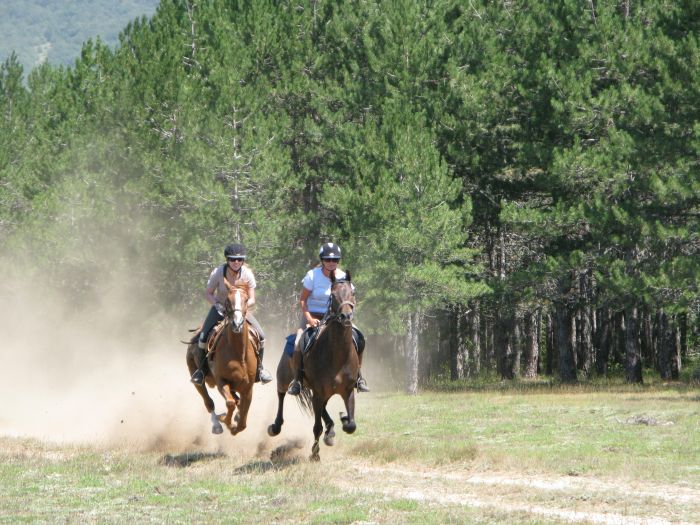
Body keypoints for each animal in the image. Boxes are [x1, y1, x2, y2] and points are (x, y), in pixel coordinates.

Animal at [186, 280, 260, 436]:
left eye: (246, 300)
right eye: (227, 300)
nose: (237, 324)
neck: (238, 354)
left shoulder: (248, 388)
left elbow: (242, 420)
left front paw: (235, 423)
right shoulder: (221, 381)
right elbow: (230, 403)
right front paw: (226, 421)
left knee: (236, 401)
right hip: (197, 379)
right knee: (209, 402)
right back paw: (217, 424)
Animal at [266, 272, 358, 460]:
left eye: (352, 293)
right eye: (333, 295)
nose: (346, 316)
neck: (338, 356)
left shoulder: (347, 390)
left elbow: (351, 425)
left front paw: (343, 420)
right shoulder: (318, 391)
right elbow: (316, 427)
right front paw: (315, 454)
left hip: (322, 392)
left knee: (323, 409)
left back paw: (331, 430)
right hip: (285, 377)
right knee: (281, 394)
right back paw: (275, 426)